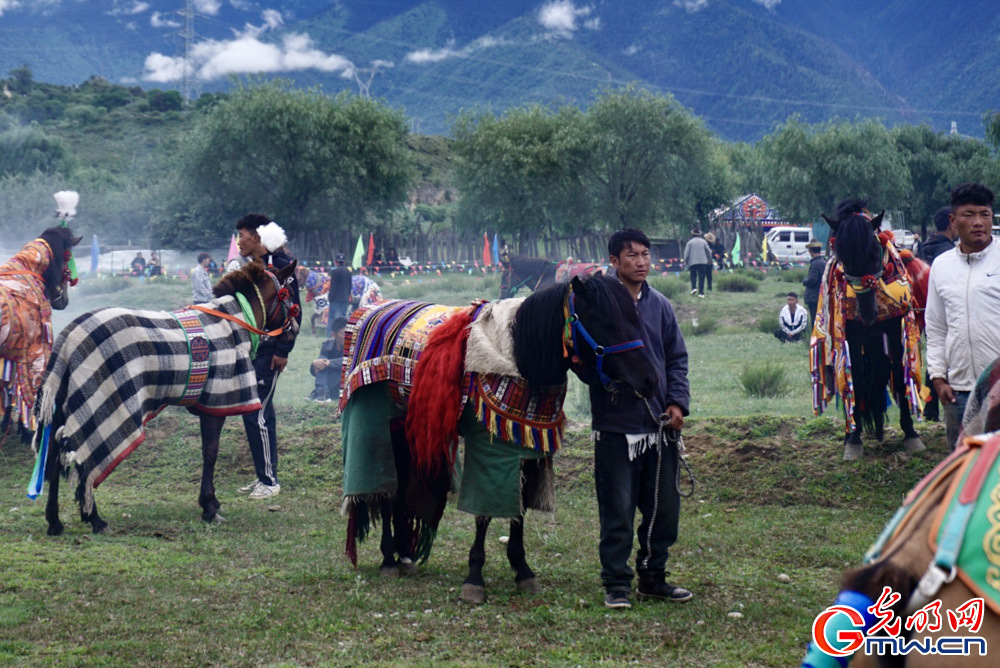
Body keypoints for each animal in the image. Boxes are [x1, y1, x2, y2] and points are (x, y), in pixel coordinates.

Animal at [30, 258, 296, 536]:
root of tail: (69, 336)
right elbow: (210, 453)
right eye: (288, 292)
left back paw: (55, 520)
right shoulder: (215, 404)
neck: (233, 321)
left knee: (55, 461)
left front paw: (210, 503)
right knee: (84, 464)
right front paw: (209, 506)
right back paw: (94, 519)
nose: (293, 331)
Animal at [340, 274, 660, 604]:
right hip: (376, 424)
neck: (521, 354)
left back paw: (404, 555)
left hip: (407, 427)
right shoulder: (489, 450)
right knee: (385, 487)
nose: (650, 380)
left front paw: (523, 570)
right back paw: (388, 559)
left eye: (634, 319)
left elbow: (518, 510)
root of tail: (368, 310)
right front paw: (474, 578)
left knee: (402, 484)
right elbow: (485, 511)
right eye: (605, 322)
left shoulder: (525, 450)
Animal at [812, 198, 928, 460]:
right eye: (842, 257)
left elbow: (899, 372)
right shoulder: (853, 335)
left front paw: (911, 433)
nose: (868, 316)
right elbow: (854, 377)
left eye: (874, 253)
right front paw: (853, 439)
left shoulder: (894, 330)